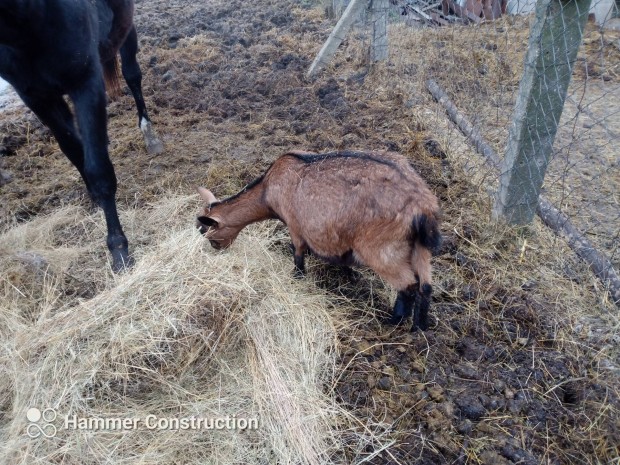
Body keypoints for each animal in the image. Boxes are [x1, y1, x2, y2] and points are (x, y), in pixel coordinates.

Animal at [0, 0, 162, 270]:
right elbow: (73, 148)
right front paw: (93, 196)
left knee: (132, 74)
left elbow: (99, 170)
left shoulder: (86, 82)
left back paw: (150, 136)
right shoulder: (36, 96)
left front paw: (119, 249)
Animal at [196, 150, 438, 328]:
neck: (267, 190)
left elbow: (298, 252)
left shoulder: (294, 225)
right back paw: (419, 326)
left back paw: (393, 321)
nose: (216, 248)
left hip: (382, 248)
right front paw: (347, 273)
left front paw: (297, 276)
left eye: (204, 231)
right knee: (425, 286)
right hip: (419, 247)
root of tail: (421, 205)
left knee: (408, 284)